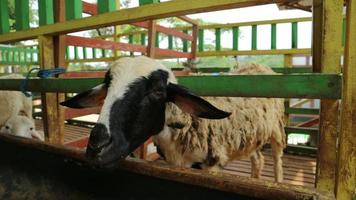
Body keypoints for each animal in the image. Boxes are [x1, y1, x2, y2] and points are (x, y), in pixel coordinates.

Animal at [153, 63, 286, 182]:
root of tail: (260, 65)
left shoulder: (211, 162)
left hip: (277, 128)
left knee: (277, 159)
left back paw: (278, 181)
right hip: (251, 135)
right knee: (258, 158)